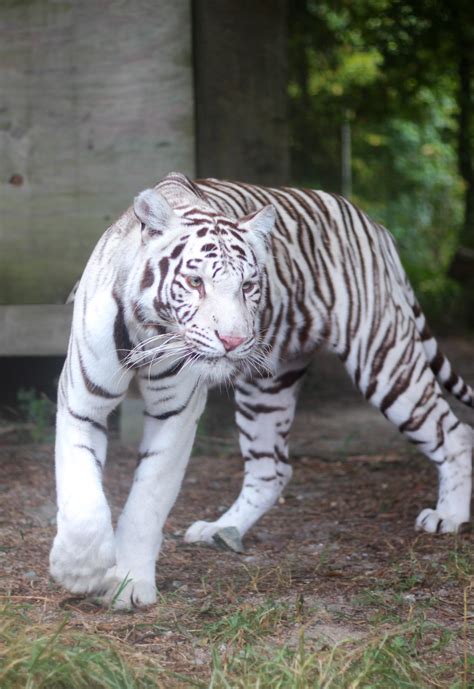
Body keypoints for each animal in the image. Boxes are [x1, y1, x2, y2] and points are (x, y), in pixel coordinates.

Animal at [50, 172, 473, 609]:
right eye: (195, 281)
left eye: (249, 285)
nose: (234, 340)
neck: (146, 334)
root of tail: (373, 225)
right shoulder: (82, 402)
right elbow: (80, 493)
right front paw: (79, 569)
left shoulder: (175, 414)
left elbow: (146, 502)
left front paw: (130, 584)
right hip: (267, 390)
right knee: (272, 469)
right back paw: (220, 529)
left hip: (385, 360)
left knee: (456, 433)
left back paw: (448, 516)